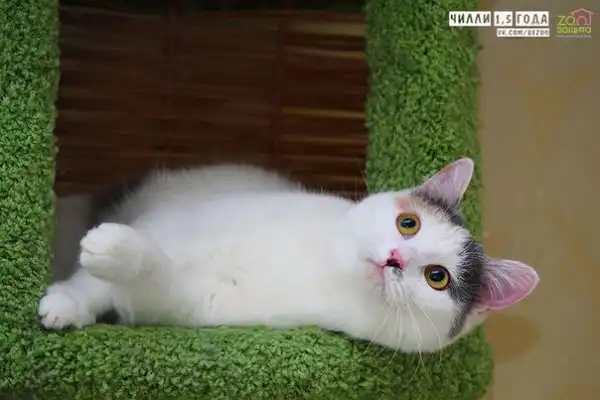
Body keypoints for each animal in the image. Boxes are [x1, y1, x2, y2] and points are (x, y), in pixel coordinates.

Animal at [38, 158, 539, 353]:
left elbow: (150, 276)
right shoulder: (172, 225)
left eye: (438, 277)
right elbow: (92, 282)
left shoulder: (192, 302)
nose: (395, 257)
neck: (319, 264)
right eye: (408, 223)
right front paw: (67, 302)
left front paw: (113, 251)